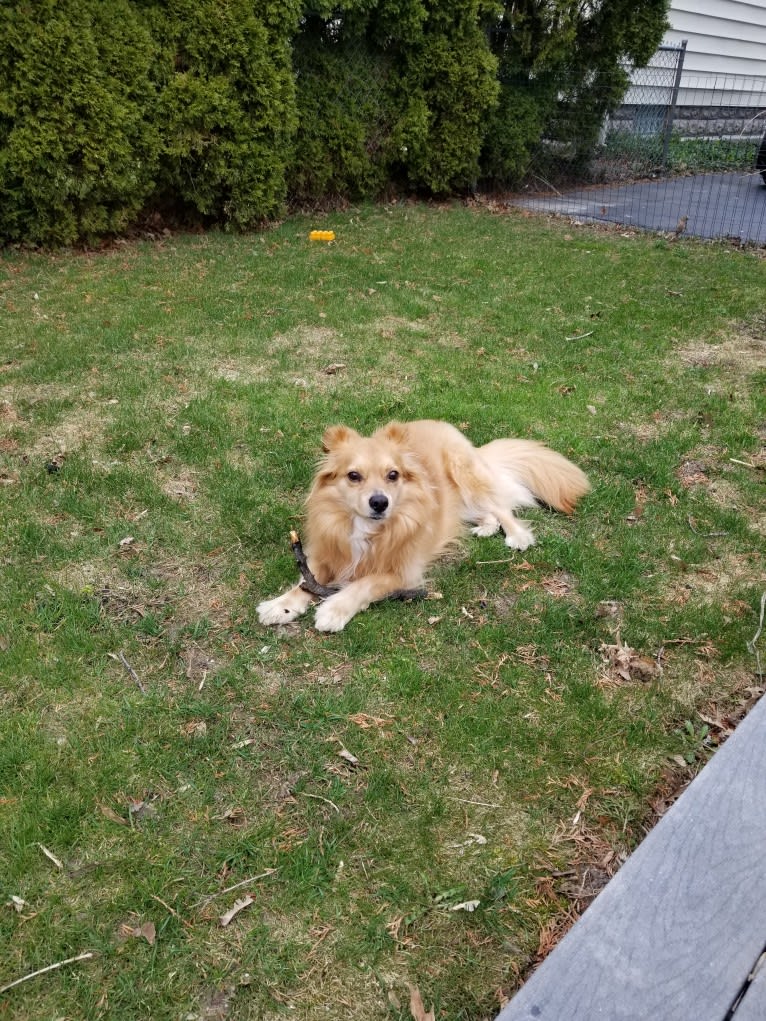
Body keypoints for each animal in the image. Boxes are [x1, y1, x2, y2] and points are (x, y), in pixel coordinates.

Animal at [259, 420, 592, 628]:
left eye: (393, 475)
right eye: (353, 476)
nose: (380, 502)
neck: (366, 528)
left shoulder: (403, 572)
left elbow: (365, 584)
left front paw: (334, 609)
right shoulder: (326, 554)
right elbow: (305, 580)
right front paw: (281, 604)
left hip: (465, 474)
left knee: (501, 506)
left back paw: (516, 535)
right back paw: (485, 526)